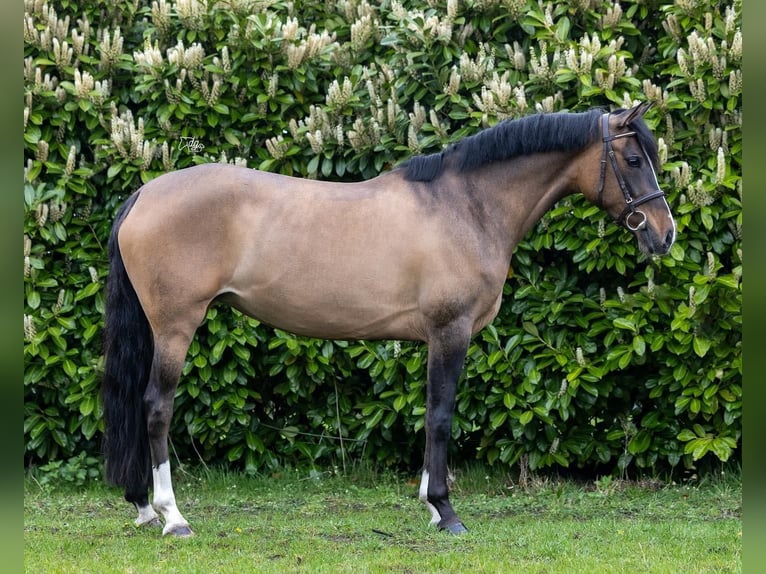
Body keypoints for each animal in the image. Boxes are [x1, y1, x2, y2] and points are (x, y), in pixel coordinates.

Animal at [100, 101, 680, 536]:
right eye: (633, 159)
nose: (664, 233)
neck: (466, 206)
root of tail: (144, 194)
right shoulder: (450, 331)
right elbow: (442, 416)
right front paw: (445, 511)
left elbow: (429, 413)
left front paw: (430, 505)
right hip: (176, 327)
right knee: (156, 408)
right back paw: (172, 516)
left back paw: (144, 507)